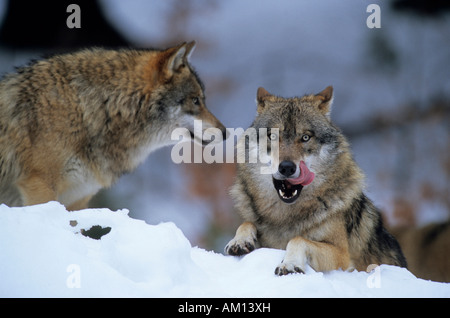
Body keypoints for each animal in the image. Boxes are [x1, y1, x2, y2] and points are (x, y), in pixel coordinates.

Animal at [227, 85, 406, 274]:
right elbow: (246, 223)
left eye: (306, 137)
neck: (285, 216)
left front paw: (289, 263)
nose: (287, 167)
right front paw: (239, 241)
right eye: (272, 136)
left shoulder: (341, 255)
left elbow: (298, 239)